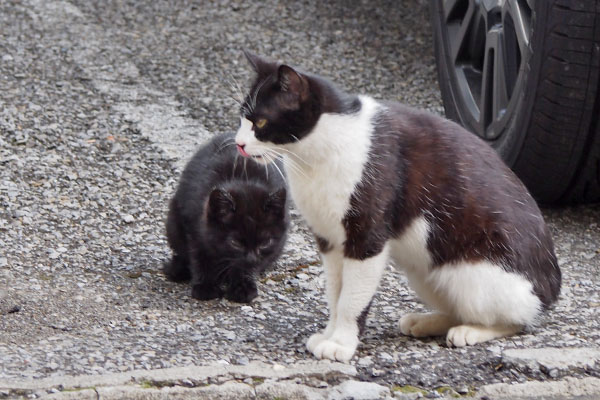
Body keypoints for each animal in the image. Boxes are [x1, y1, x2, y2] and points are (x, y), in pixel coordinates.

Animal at [163, 131, 288, 304]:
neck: (242, 179)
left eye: (265, 242)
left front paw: (243, 286)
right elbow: (200, 255)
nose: (252, 259)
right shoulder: (194, 223)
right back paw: (177, 269)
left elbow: (243, 268)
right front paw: (205, 287)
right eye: (235, 243)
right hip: (173, 221)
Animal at [232, 51, 560, 360]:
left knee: (515, 318)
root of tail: (551, 287)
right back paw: (426, 322)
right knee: (460, 307)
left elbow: (351, 299)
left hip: (476, 276)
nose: (238, 143)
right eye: (242, 119)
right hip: (425, 271)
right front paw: (329, 334)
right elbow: (335, 293)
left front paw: (341, 343)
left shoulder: (366, 237)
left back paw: (471, 331)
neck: (314, 155)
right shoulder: (330, 240)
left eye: (260, 122)